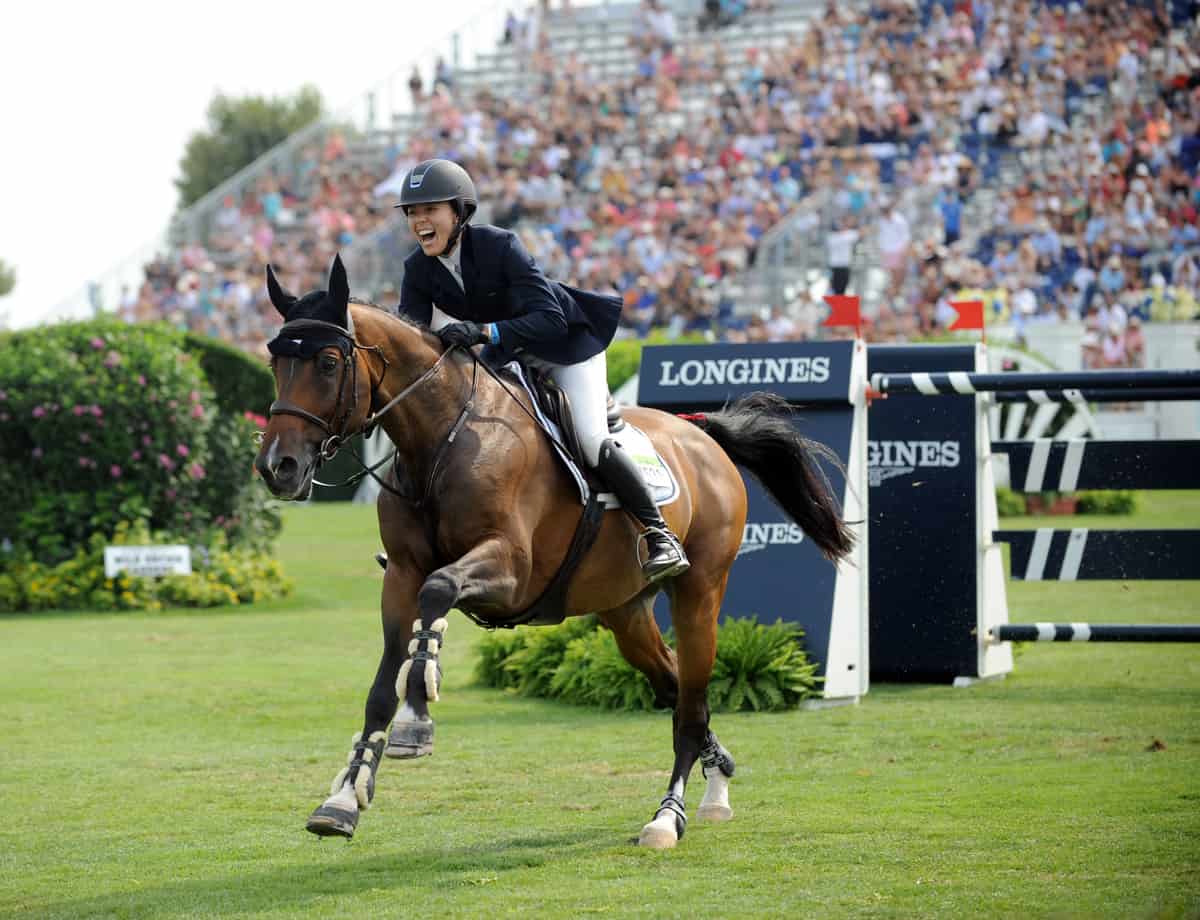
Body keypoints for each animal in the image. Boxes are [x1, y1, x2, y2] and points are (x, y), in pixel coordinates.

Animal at [255, 255, 854, 854]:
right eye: (275, 361)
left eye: (328, 361)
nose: (278, 467)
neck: (441, 439)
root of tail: (703, 437)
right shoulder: (400, 576)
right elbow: (382, 685)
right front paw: (342, 800)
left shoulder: (509, 571)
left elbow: (439, 590)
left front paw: (416, 715)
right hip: (625, 612)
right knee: (675, 687)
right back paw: (718, 780)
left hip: (700, 591)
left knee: (691, 703)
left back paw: (668, 817)